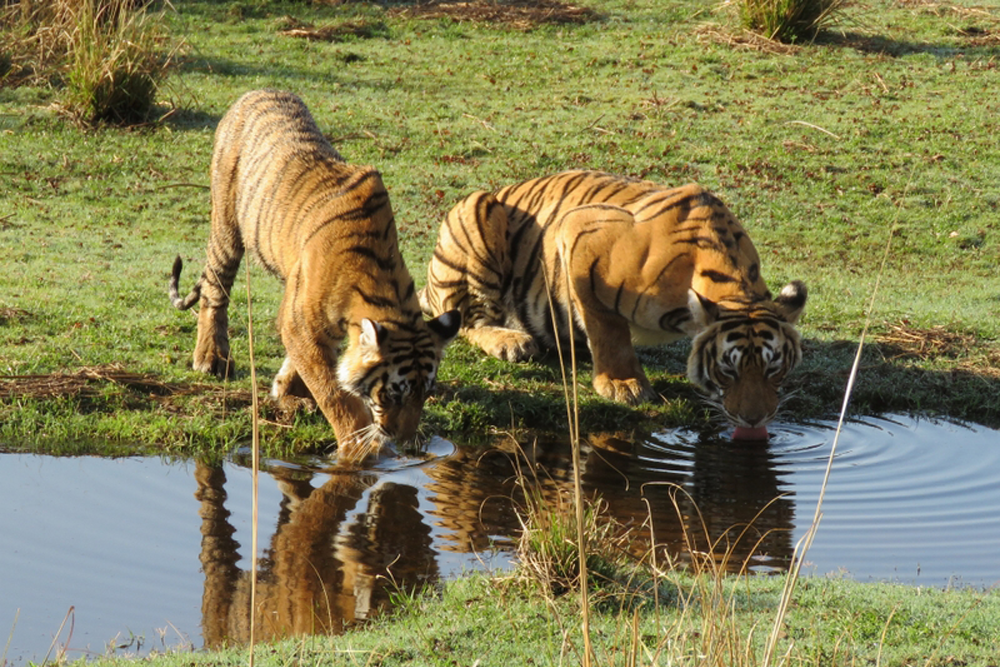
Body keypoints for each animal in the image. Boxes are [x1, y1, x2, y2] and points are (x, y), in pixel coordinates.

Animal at [169, 89, 460, 462]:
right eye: (394, 394)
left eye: (425, 394)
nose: (405, 440)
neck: (382, 286)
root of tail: (256, 91)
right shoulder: (302, 322)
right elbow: (334, 393)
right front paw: (359, 448)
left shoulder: (307, 322)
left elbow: (306, 365)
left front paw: (287, 390)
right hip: (227, 224)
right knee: (214, 291)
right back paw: (211, 359)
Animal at [419, 170, 807, 439]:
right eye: (729, 370)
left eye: (774, 369)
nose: (754, 420)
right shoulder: (581, 234)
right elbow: (608, 328)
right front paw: (623, 384)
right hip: (478, 210)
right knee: (467, 320)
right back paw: (512, 342)